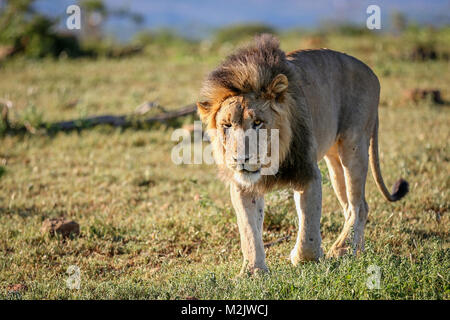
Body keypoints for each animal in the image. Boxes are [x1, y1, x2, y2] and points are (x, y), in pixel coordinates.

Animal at [197, 35, 408, 276]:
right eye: (227, 125)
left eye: (258, 122)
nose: (241, 159)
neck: (272, 158)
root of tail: (371, 71)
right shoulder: (243, 186)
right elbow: (249, 231)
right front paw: (253, 271)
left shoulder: (307, 173)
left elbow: (308, 226)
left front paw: (304, 258)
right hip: (334, 160)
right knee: (349, 206)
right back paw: (355, 250)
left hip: (353, 145)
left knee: (359, 205)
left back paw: (342, 250)